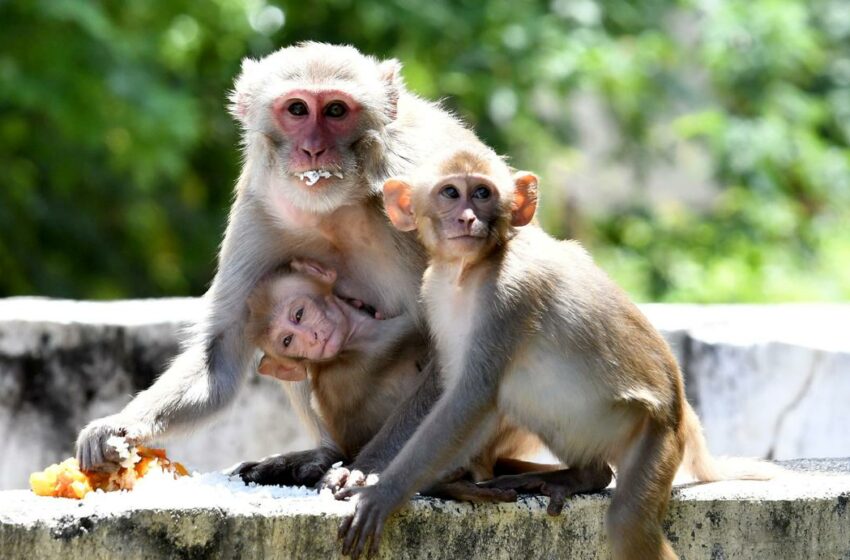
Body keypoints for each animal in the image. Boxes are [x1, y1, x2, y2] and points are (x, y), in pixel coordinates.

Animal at [334, 144, 772, 560]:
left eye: (482, 193)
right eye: (450, 193)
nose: (467, 219)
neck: (470, 270)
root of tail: (680, 407)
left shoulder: (510, 297)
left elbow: (472, 397)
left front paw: (382, 494)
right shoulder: (434, 291)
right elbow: (450, 386)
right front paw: (401, 476)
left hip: (656, 437)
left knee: (628, 521)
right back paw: (580, 475)